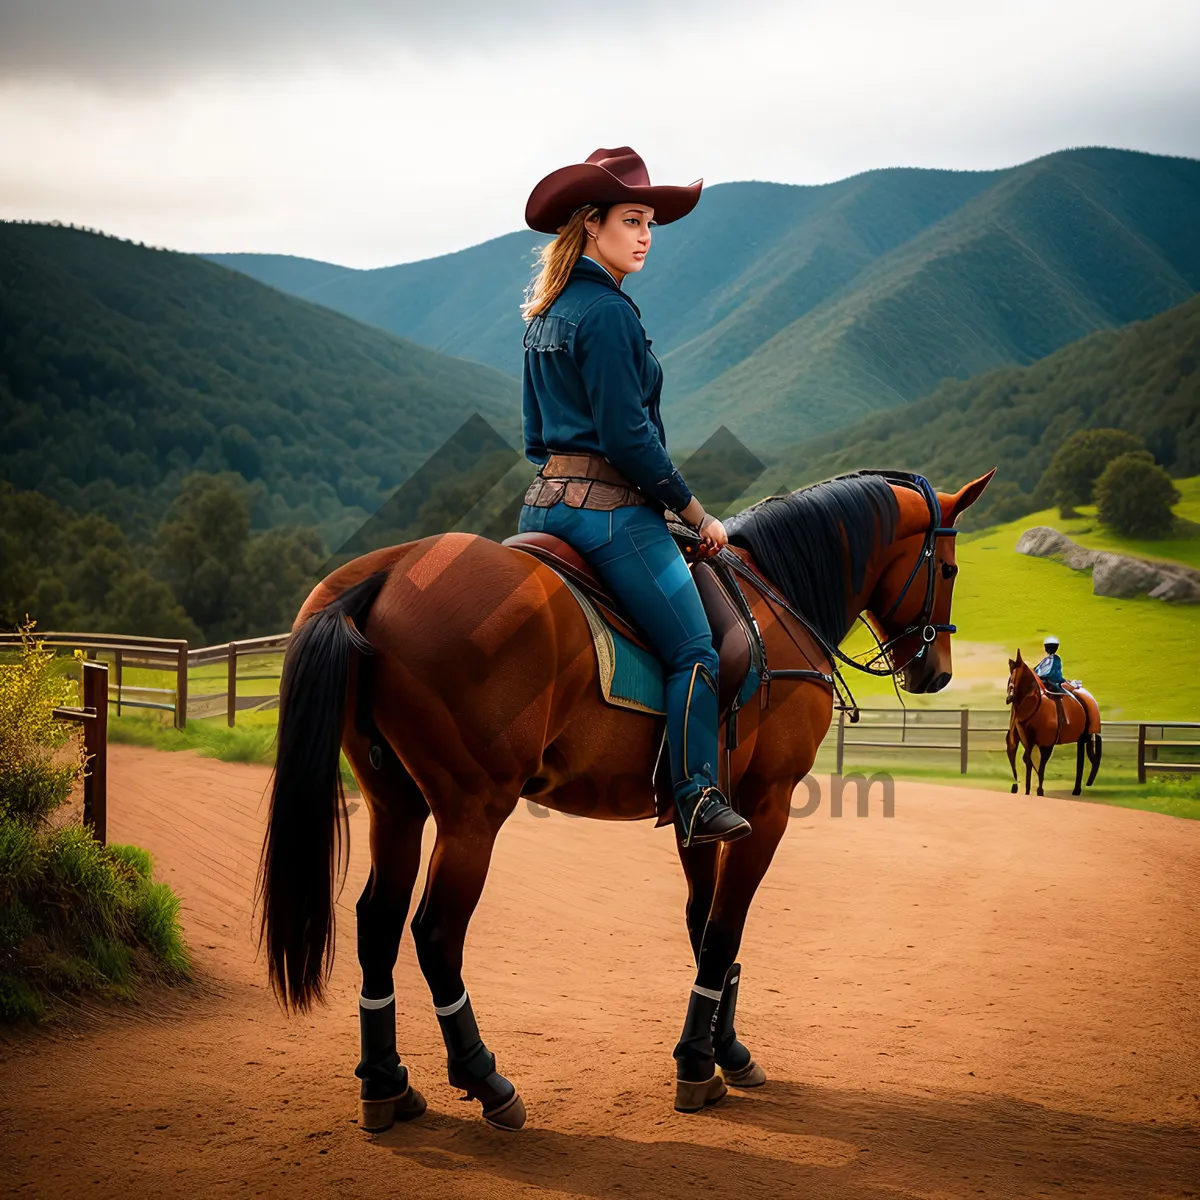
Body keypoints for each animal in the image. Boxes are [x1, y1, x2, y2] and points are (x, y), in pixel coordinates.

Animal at [255, 463, 993, 1128]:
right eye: (951, 572)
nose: (935, 672)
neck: (778, 600)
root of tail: (388, 572)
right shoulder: (767, 805)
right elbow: (725, 929)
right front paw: (696, 1062)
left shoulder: (703, 809)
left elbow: (702, 926)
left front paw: (723, 1052)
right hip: (473, 812)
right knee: (436, 933)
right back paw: (485, 1080)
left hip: (396, 805)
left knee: (376, 922)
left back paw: (387, 1084)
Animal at [1003, 648, 1104, 796]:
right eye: (1010, 676)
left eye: (1019, 676)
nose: (1009, 698)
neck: (1035, 706)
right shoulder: (1027, 740)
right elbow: (1027, 760)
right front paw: (1026, 790)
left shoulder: (1047, 742)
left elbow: (1040, 763)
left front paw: (1039, 790)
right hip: (1080, 738)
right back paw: (1076, 790)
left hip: (1083, 736)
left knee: (1081, 761)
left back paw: (1077, 790)